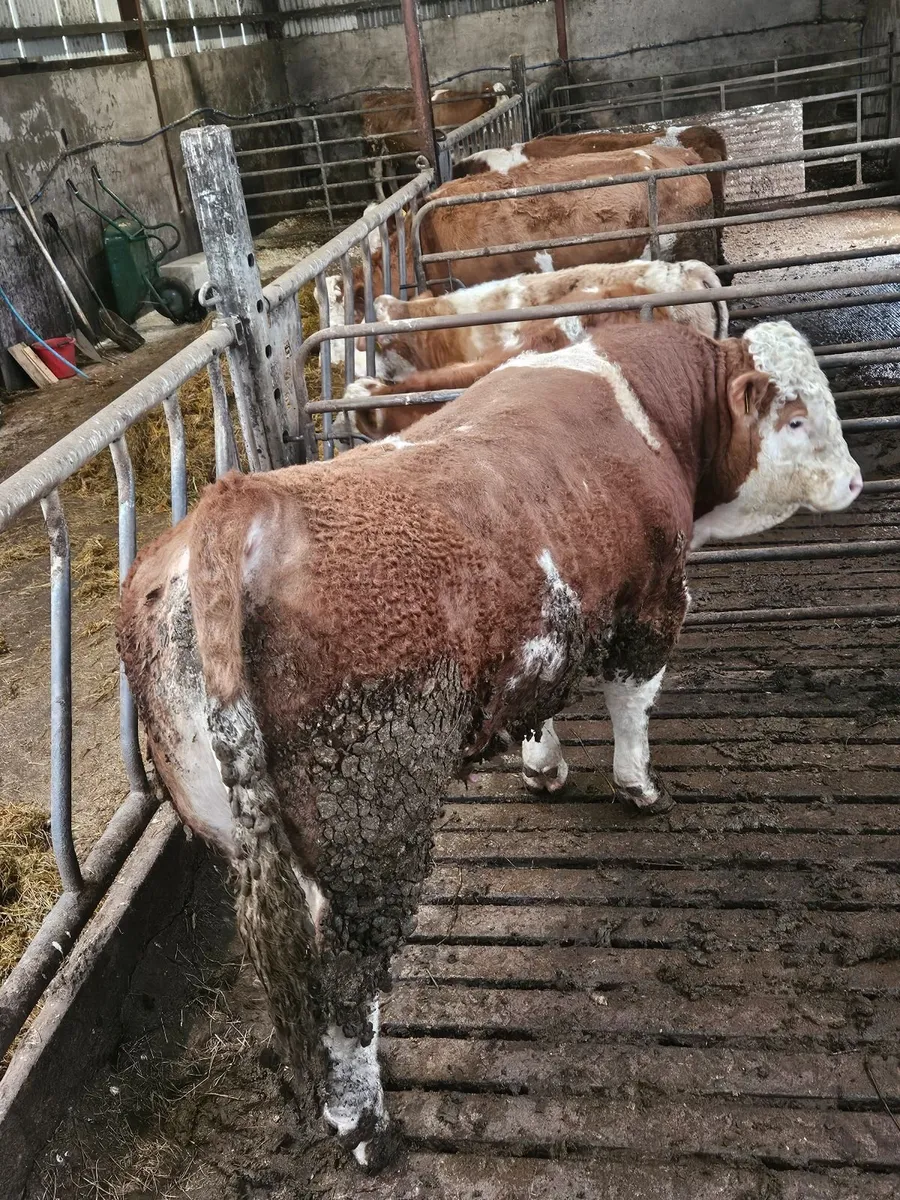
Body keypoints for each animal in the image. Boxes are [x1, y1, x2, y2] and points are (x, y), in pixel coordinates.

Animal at [117, 320, 861, 1172]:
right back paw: (368, 1130)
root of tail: (240, 500)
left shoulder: (542, 634)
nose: (854, 482)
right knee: (348, 985)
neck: (644, 405)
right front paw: (638, 787)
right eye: (797, 418)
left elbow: (541, 708)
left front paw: (544, 770)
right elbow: (633, 702)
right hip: (374, 822)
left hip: (257, 832)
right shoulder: (651, 600)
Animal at [362, 82, 507, 201]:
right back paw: (382, 199)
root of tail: (374, 96)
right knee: (377, 175)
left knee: (390, 174)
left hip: (391, 150)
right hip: (375, 147)